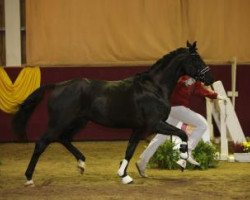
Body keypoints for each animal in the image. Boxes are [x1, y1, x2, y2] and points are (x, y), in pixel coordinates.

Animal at [12, 41, 214, 186]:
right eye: (196, 59)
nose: (210, 79)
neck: (153, 88)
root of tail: (57, 86)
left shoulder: (139, 128)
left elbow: (130, 150)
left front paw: (124, 176)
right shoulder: (155, 124)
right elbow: (182, 134)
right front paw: (183, 158)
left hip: (78, 122)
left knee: (64, 138)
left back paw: (82, 164)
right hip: (59, 122)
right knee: (42, 143)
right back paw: (29, 178)